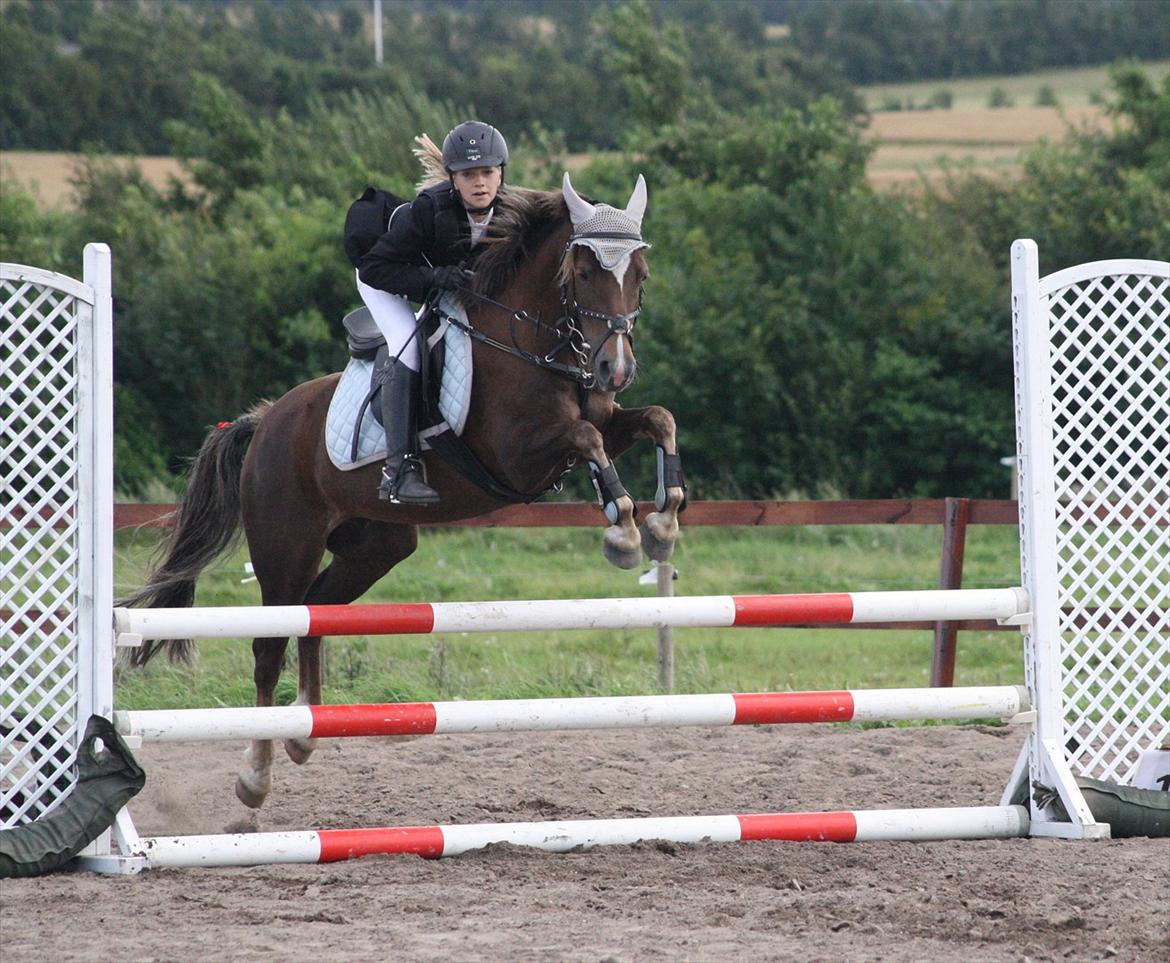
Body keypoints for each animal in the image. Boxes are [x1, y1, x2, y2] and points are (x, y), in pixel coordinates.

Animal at [121, 170, 683, 805]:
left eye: (640, 275)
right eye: (584, 272)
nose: (616, 369)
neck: (531, 339)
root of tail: (263, 423)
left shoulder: (604, 424)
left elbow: (657, 419)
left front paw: (662, 523)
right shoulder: (518, 456)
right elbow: (587, 439)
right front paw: (624, 533)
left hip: (376, 545)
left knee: (317, 613)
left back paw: (304, 734)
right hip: (285, 546)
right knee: (271, 643)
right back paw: (254, 777)